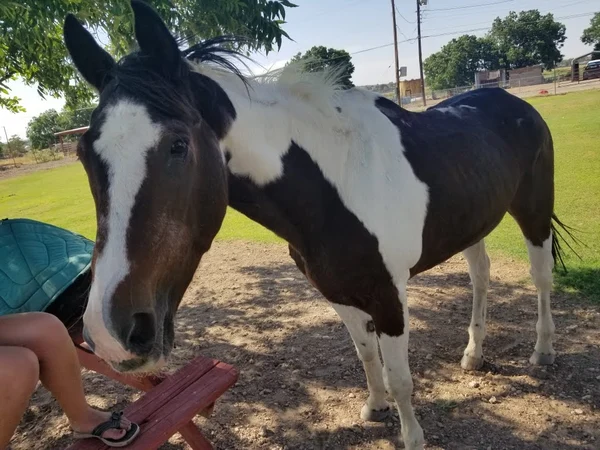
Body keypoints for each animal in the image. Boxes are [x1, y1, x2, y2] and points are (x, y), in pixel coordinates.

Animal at [63, 2, 576, 446]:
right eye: (84, 153)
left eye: (177, 145)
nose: (110, 333)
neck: (334, 187)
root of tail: (511, 102)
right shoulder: (338, 294)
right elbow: (365, 355)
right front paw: (374, 407)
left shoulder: (390, 298)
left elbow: (401, 378)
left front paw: (411, 436)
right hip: (473, 224)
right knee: (481, 277)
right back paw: (473, 355)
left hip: (533, 213)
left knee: (540, 278)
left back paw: (542, 352)